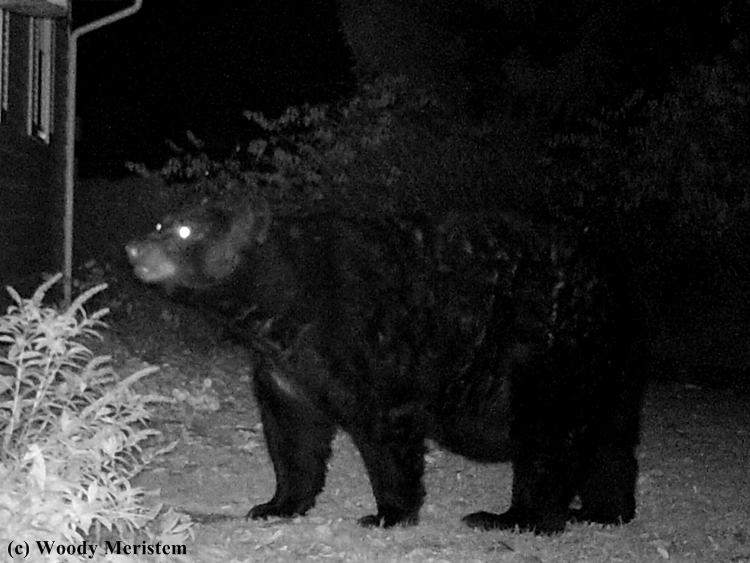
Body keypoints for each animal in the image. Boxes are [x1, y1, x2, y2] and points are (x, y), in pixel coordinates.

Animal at [126, 196, 644, 534]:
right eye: (159, 224)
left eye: (185, 230)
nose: (133, 248)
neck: (288, 296)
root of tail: (613, 277)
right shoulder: (284, 363)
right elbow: (293, 433)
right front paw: (277, 504)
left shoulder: (371, 342)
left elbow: (386, 431)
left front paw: (387, 513)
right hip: (605, 365)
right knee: (610, 442)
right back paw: (602, 510)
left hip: (548, 351)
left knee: (550, 438)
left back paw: (513, 518)